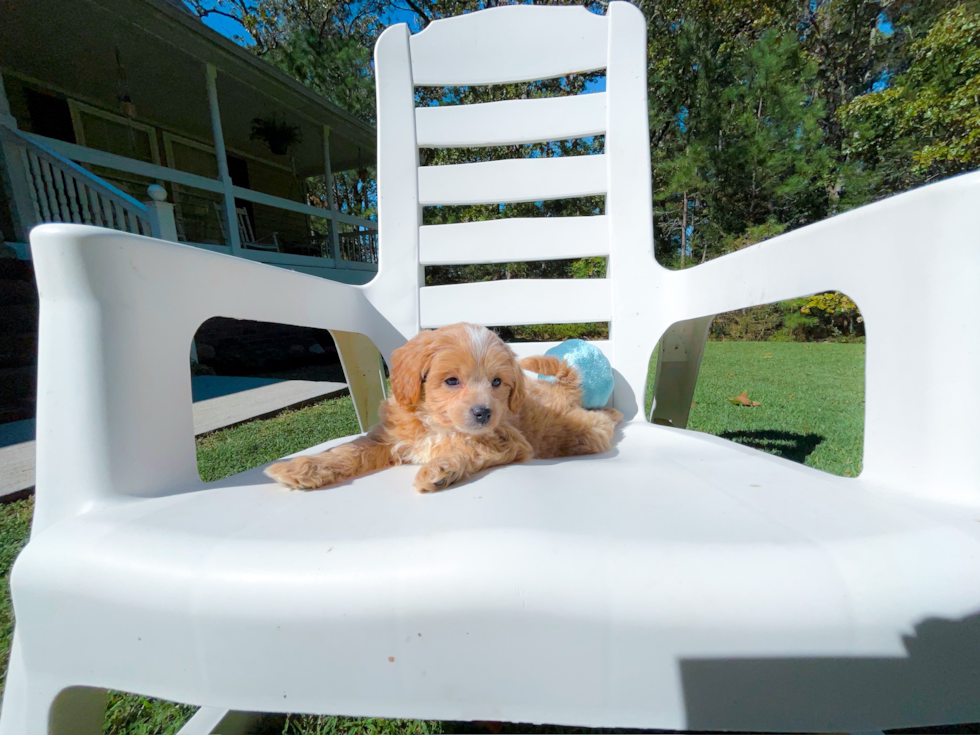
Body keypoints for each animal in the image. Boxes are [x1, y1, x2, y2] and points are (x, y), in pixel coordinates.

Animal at [266, 324, 620, 492]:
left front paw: (441, 469)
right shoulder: (388, 439)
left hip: (576, 434)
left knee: (599, 423)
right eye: (451, 381)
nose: (483, 413)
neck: (436, 424)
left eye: (496, 382)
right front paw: (301, 469)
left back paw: (612, 414)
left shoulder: (508, 441)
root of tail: (560, 389)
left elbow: (468, 447)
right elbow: (349, 451)